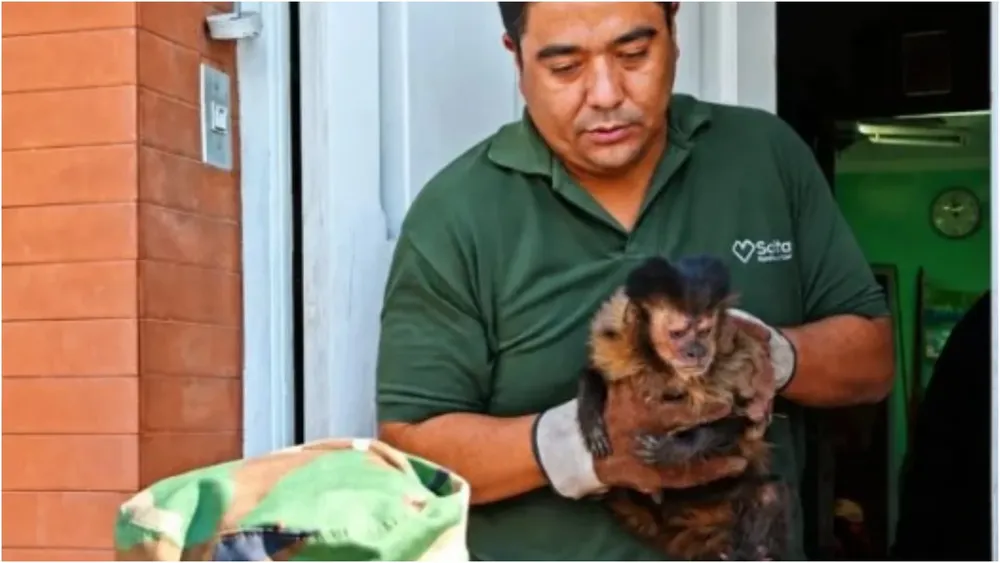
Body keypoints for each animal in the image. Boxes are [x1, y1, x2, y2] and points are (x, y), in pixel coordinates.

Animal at [576, 255, 790, 561]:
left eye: (705, 331)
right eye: (677, 334)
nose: (697, 352)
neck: (666, 373)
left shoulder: (735, 368)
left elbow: (739, 421)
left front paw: (676, 449)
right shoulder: (617, 347)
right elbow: (594, 374)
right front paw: (592, 419)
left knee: (770, 492)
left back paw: (754, 549)